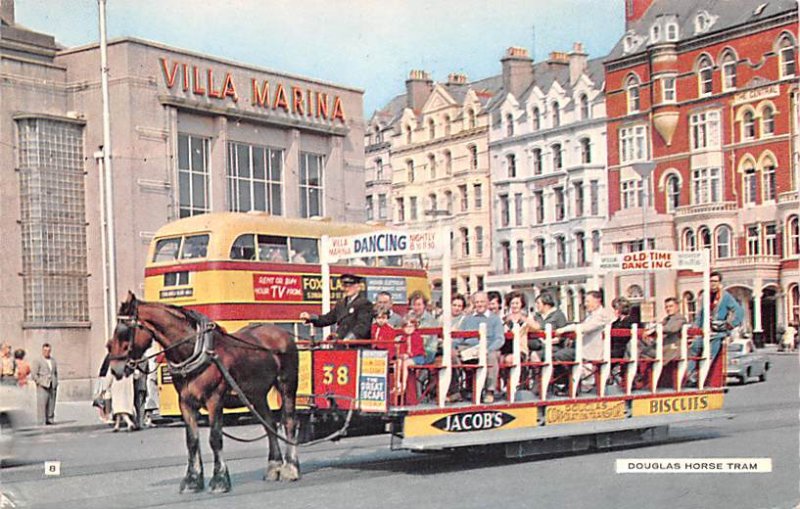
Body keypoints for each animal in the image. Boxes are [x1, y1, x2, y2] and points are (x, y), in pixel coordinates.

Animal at [108, 292, 302, 490]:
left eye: (124, 331)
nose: (115, 369)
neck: (194, 350)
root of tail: (281, 332)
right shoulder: (185, 402)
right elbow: (192, 440)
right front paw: (192, 480)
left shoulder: (214, 399)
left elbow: (215, 438)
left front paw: (220, 479)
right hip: (257, 395)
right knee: (269, 424)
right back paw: (274, 466)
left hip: (287, 383)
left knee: (289, 422)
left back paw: (291, 468)